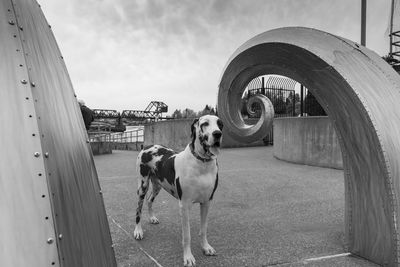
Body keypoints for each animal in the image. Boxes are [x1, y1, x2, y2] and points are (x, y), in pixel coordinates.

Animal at [134, 115, 222, 267]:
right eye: (205, 123)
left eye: (220, 124)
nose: (217, 134)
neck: (201, 164)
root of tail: (148, 146)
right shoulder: (184, 205)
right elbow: (187, 236)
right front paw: (188, 257)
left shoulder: (206, 202)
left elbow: (204, 229)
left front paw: (206, 247)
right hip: (143, 185)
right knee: (138, 209)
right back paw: (138, 231)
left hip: (157, 186)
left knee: (149, 200)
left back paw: (152, 218)